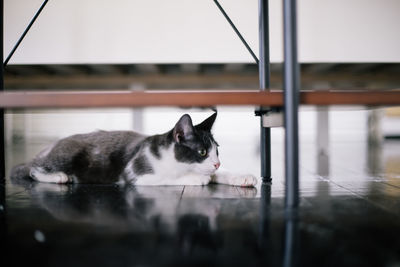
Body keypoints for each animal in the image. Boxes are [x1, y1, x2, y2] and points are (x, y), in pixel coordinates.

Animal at [10, 114, 258, 187]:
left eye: (217, 152)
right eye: (202, 152)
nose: (216, 162)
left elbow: (217, 174)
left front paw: (242, 177)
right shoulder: (135, 172)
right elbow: (164, 178)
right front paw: (196, 179)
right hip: (68, 155)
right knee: (30, 170)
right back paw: (59, 177)